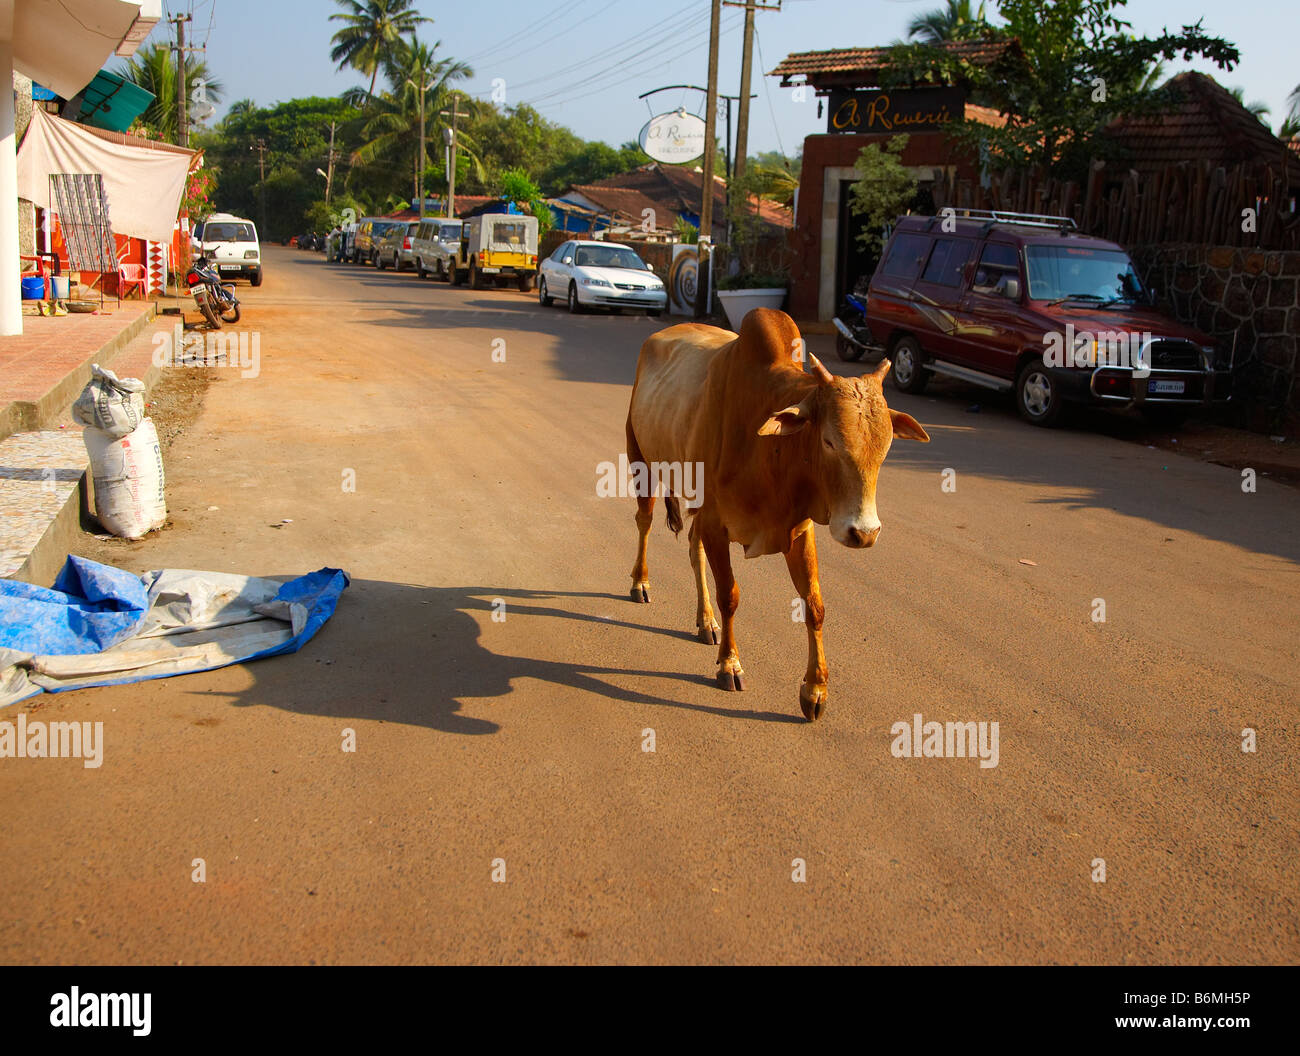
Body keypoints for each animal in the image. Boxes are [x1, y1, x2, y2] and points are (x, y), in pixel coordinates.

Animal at [626, 305, 925, 717]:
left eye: (886, 446)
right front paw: (729, 665)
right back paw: (640, 583)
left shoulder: (798, 529)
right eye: (829, 441)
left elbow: (814, 604)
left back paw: (706, 622)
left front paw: (815, 691)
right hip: (640, 457)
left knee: (692, 545)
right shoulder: (718, 525)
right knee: (644, 522)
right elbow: (730, 595)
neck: (771, 451)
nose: (863, 533)